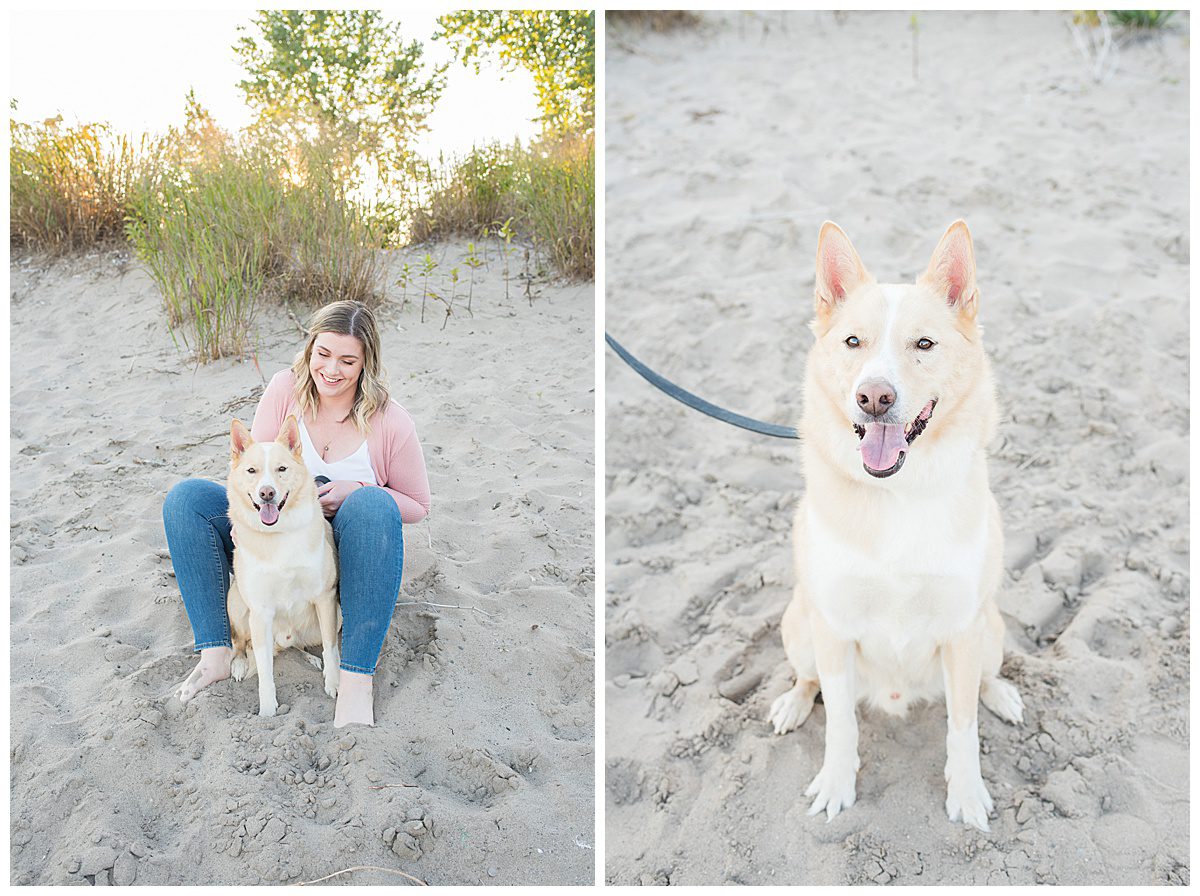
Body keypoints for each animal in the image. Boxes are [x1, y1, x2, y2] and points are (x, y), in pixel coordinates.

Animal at [225, 417, 340, 719]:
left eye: (282, 469)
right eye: (251, 470)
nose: (267, 493)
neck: (278, 533)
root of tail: (285, 639)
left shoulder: (325, 598)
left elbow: (331, 647)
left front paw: (335, 682)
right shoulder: (260, 612)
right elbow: (265, 670)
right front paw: (267, 710)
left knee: (306, 644)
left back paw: (311, 658)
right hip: (236, 603)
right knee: (240, 643)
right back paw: (239, 663)